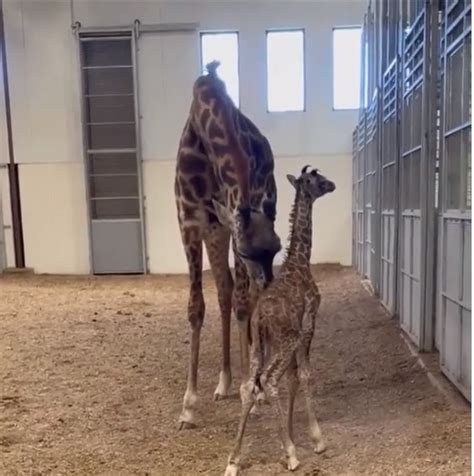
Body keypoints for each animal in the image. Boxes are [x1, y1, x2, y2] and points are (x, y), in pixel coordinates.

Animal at [224, 165, 336, 474]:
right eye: (316, 180)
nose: (332, 184)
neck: (300, 262)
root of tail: (260, 316)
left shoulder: (282, 338)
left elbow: (293, 378)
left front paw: (291, 435)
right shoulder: (308, 325)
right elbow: (305, 375)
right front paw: (316, 440)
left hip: (260, 344)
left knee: (249, 386)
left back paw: (233, 460)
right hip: (286, 341)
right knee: (268, 380)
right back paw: (291, 454)